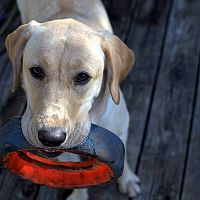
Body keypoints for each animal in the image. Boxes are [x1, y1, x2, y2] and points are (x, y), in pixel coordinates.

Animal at [5, 0, 141, 199]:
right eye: (36, 70)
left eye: (83, 77)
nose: (51, 137)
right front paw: (79, 196)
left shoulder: (122, 130)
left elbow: (125, 158)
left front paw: (128, 179)